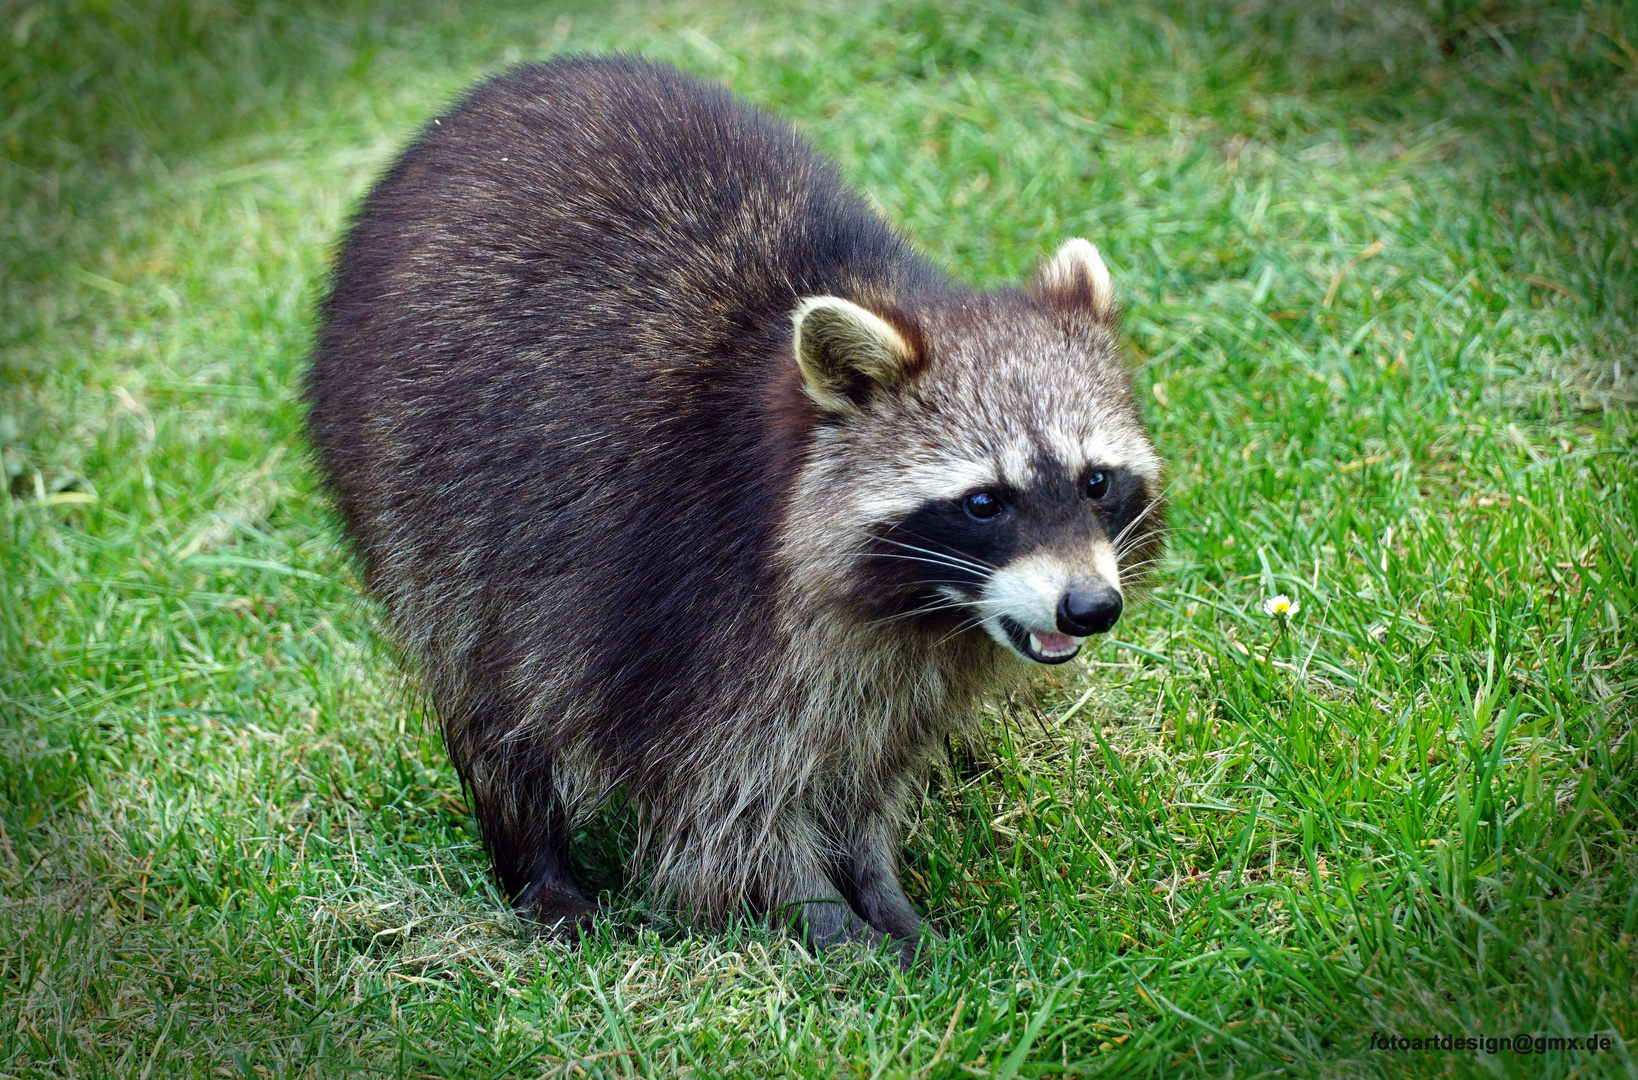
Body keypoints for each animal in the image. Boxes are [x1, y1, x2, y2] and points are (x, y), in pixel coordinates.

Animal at [304, 54, 1166, 963]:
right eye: (983, 503)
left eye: (1096, 482)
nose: (1091, 607)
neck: (922, 610)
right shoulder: (690, 601)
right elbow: (728, 801)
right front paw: (825, 921)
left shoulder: (894, 665)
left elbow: (866, 768)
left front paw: (879, 891)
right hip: (416, 493)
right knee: (484, 681)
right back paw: (536, 859)